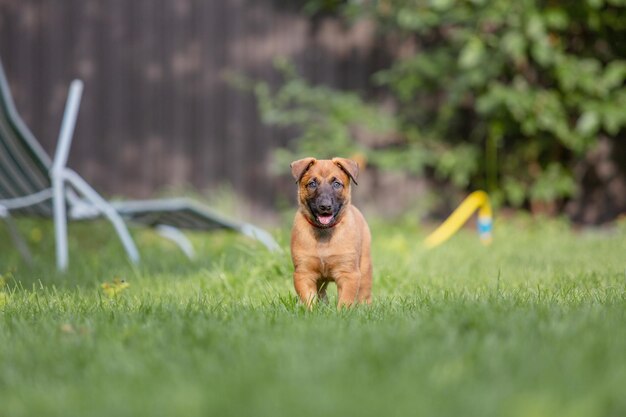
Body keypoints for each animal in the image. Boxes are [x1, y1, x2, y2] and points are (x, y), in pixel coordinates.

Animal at [288, 156, 370, 306]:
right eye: (312, 184)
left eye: (337, 184)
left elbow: (345, 302)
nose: (325, 206)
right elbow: (309, 301)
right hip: (320, 281)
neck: (324, 233)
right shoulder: (303, 274)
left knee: (365, 294)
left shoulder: (348, 274)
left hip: (365, 269)